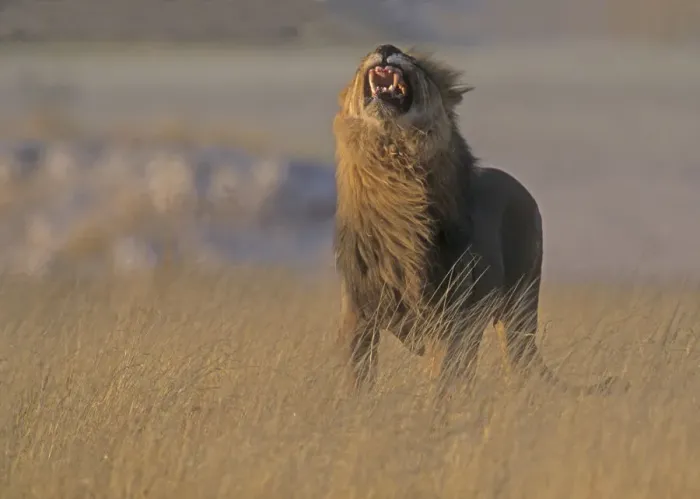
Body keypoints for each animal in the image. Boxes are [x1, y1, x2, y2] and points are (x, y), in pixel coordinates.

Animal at [332, 44, 622, 399]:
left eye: (414, 63)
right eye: (363, 61)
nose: (386, 49)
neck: (393, 168)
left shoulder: (448, 320)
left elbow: (440, 381)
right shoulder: (358, 315)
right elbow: (356, 376)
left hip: (518, 307)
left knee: (514, 359)